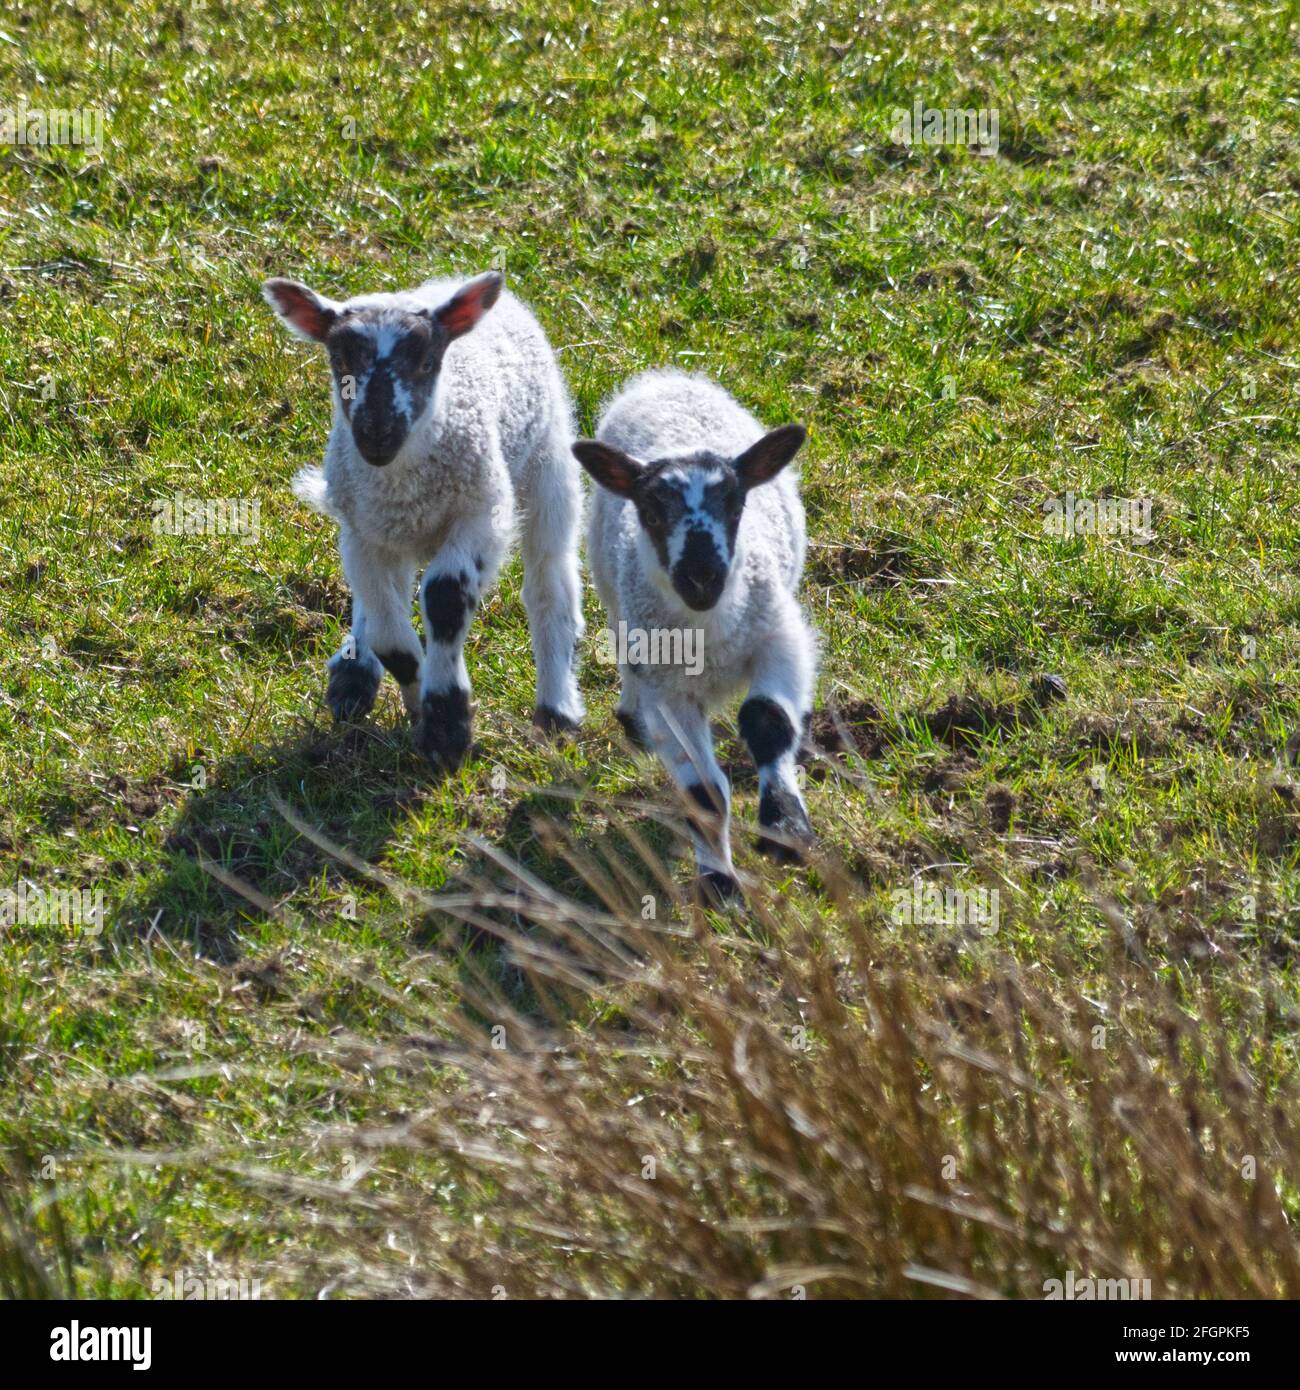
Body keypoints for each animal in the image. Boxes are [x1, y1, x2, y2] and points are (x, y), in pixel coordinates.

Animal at [262, 268, 583, 772]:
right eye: (339, 359)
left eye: (427, 362)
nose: (376, 434)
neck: (404, 480)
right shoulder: (363, 533)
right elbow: (389, 635)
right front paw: (415, 700)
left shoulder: (482, 514)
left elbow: (445, 596)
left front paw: (446, 727)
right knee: (376, 602)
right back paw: (354, 674)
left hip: (546, 466)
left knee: (549, 582)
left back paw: (557, 709)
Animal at [575, 366, 817, 900]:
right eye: (650, 512)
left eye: (736, 505)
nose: (702, 576)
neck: (709, 636)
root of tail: (661, 378)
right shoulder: (670, 690)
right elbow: (703, 794)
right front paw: (719, 887)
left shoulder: (779, 639)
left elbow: (767, 720)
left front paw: (785, 829)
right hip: (613, 591)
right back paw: (631, 713)